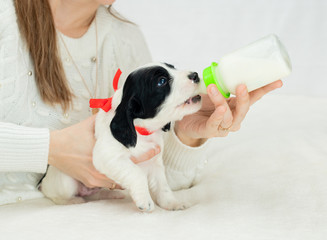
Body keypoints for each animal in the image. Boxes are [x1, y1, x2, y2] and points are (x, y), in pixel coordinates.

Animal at [42, 62, 202, 211]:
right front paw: (145, 200)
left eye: (173, 67)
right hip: (65, 181)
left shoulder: (155, 163)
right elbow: (137, 173)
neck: (141, 130)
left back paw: (110, 194)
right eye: (161, 81)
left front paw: (172, 203)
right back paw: (72, 201)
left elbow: (163, 186)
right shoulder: (106, 156)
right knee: (54, 196)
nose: (195, 75)